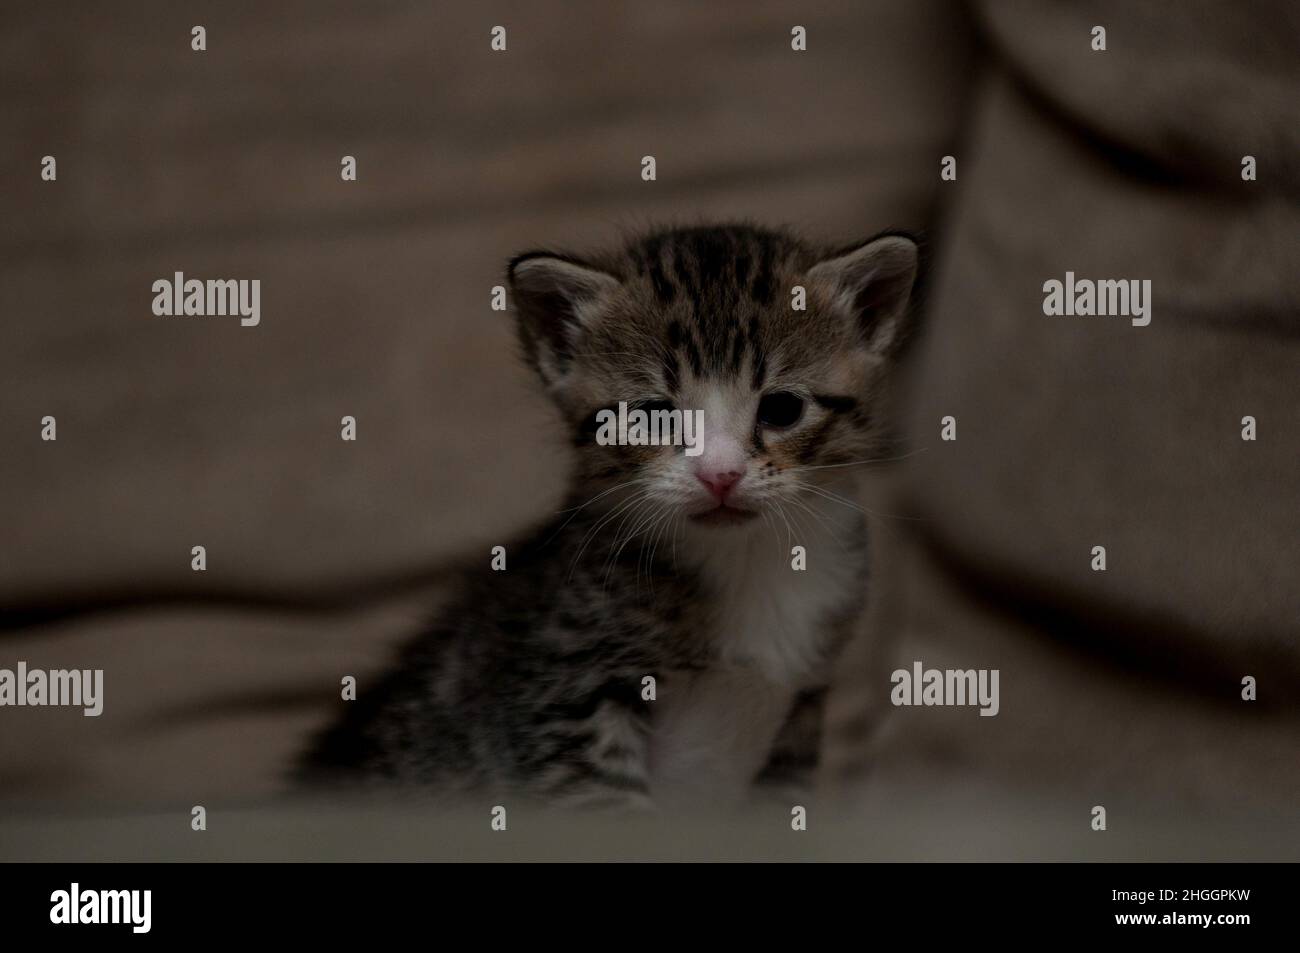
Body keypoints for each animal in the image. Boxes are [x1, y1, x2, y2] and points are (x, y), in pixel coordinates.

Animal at [305, 224, 920, 811]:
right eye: (652, 417)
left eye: (782, 409)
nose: (720, 475)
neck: (744, 564)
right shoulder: (560, 692)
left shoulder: (801, 718)